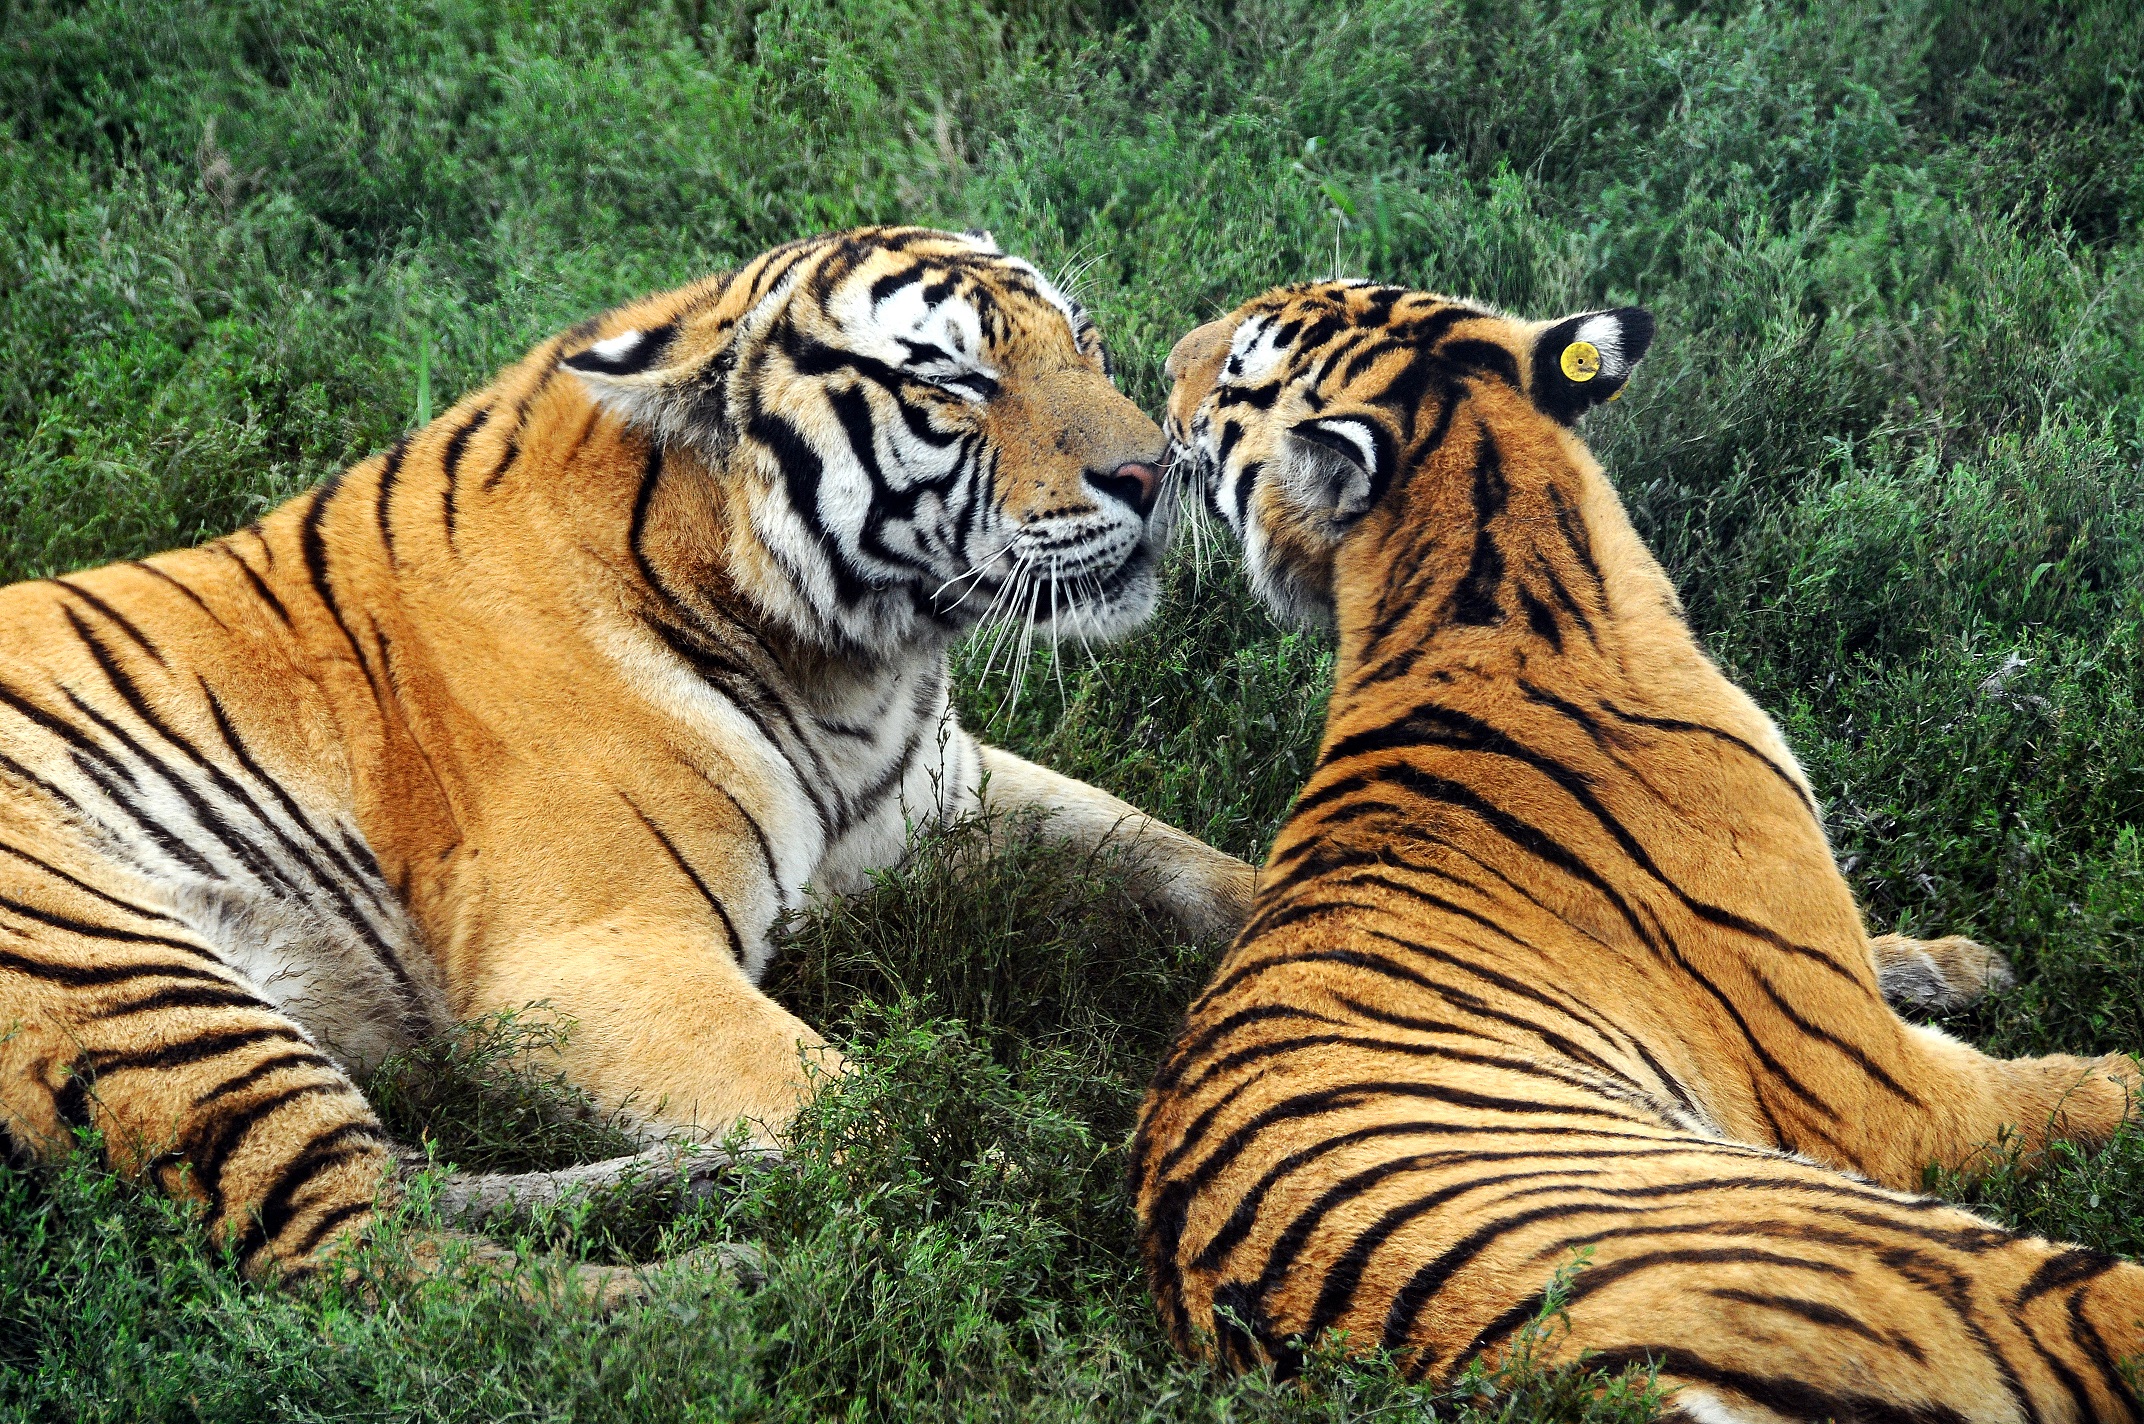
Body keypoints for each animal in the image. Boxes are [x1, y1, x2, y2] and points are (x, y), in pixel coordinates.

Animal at [0, 225, 1255, 1289]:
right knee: (374, 1262)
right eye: (952, 382)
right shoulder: (592, 958)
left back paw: (698, 1181)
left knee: (409, 1188)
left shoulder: (946, 796)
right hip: (129, 971)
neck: (844, 665)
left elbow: (1169, 850)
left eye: (1081, 342)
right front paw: (1047, 1186)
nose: (1158, 473)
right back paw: (719, 1276)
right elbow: (874, 1105)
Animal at [1132, 279, 2144, 1422]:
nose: (1155, 363)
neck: (1474, 591)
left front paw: (1966, 962)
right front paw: (2109, 1068)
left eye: (1233, 368)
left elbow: (1880, 952)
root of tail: (1567, 1381)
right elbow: (2045, 1090)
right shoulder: (1875, 1091)